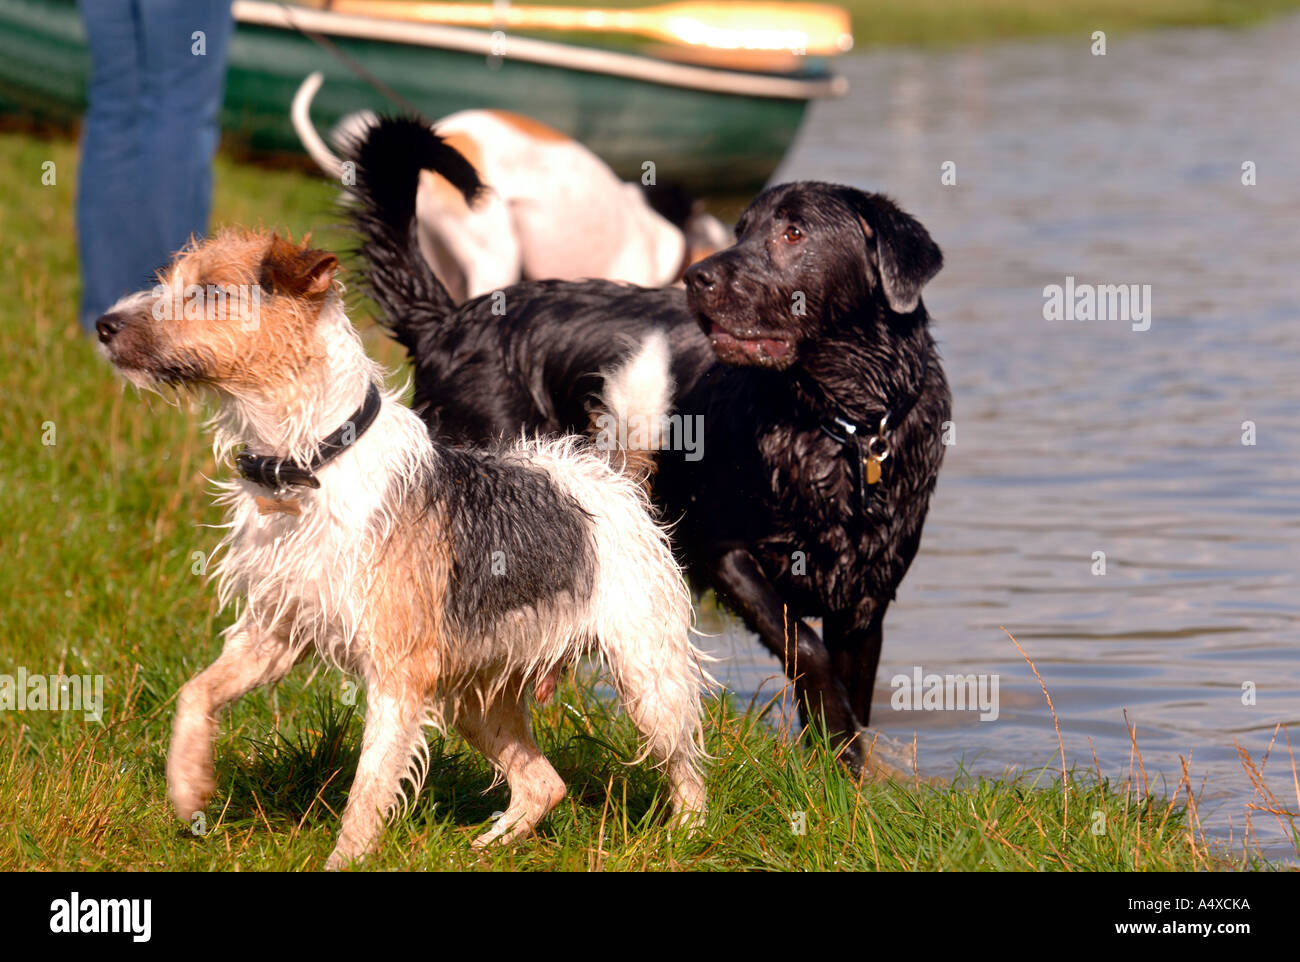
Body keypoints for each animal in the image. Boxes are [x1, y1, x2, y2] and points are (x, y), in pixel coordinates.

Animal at [97, 228, 712, 868]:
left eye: (210, 292)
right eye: (169, 283)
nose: (103, 325)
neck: (311, 463)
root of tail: (609, 477)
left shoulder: (398, 675)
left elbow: (367, 789)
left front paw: (343, 861)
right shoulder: (273, 632)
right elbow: (194, 694)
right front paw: (188, 786)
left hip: (648, 677)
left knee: (685, 766)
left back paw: (685, 836)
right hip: (477, 700)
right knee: (546, 784)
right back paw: (491, 843)